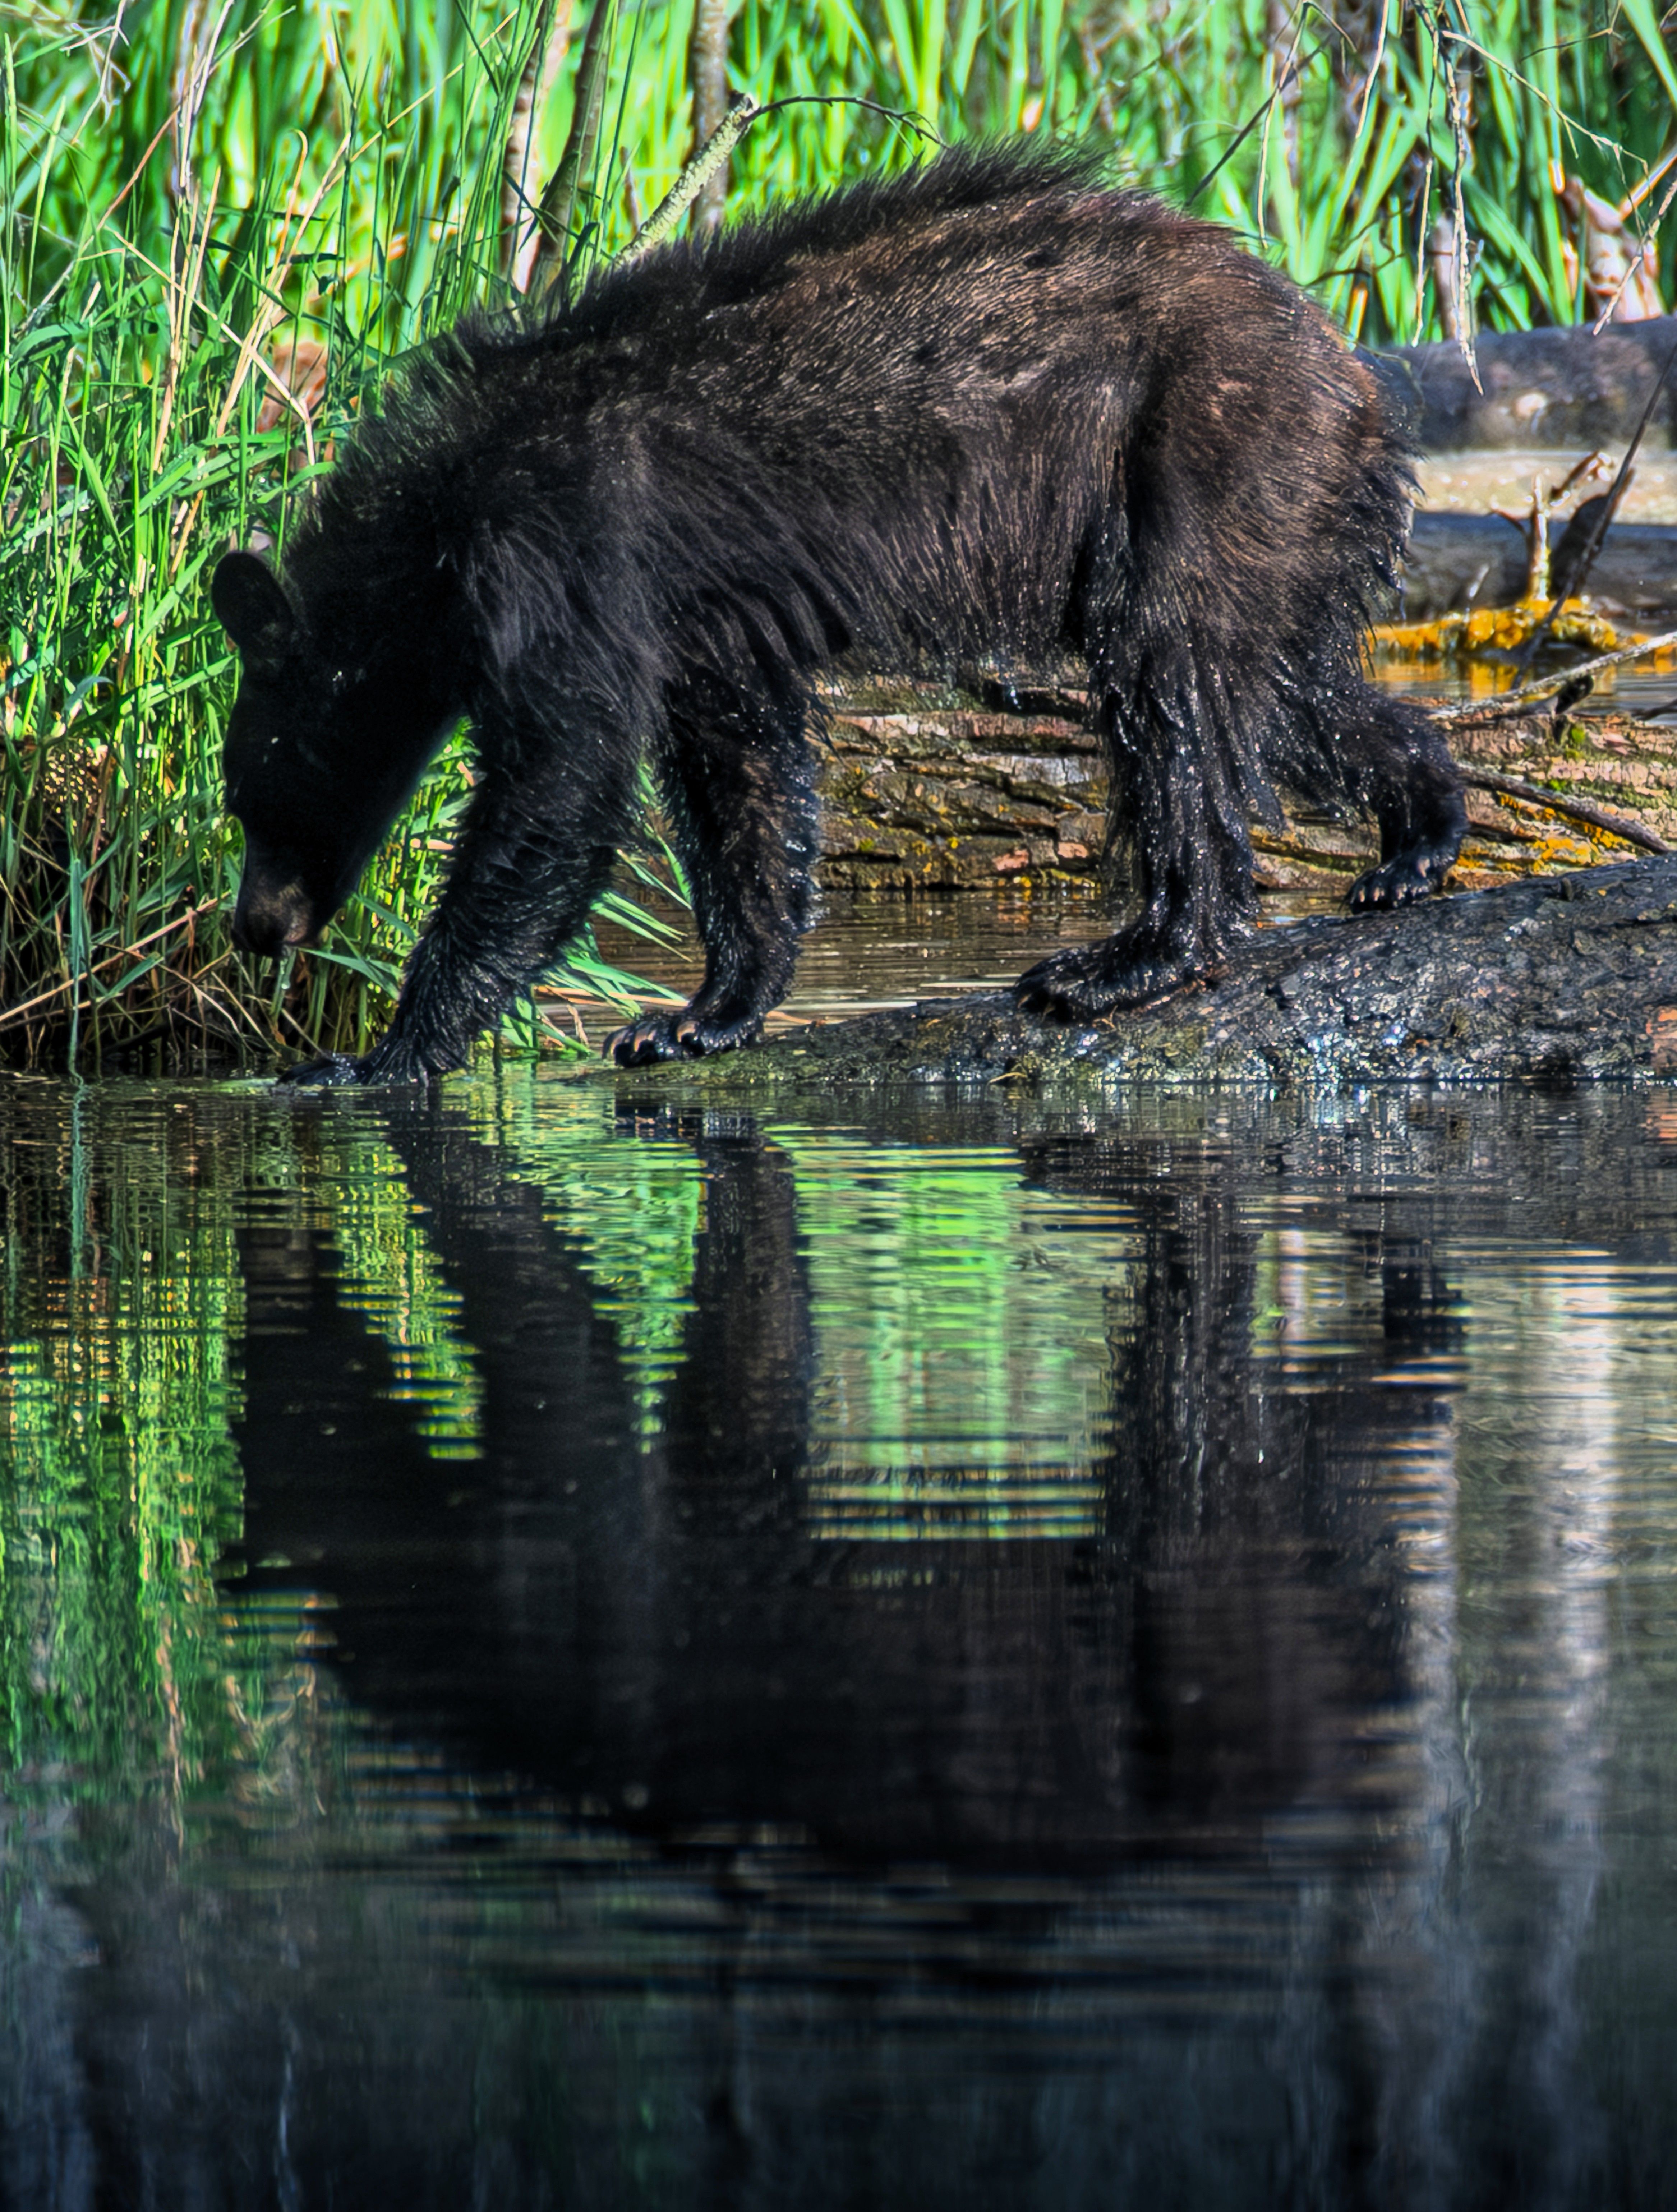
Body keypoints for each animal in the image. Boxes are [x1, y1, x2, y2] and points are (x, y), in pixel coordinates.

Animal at [213, 142, 1466, 1084]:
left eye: (249, 790)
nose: (253, 926)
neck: (433, 522)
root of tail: (1356, 374)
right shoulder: (698, 617)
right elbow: (739, 769)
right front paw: (701, 1013)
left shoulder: (561, 550)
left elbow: (559, 786)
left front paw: (379, 1057)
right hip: (1276, 511)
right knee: (1283, 689)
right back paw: (1416, 840)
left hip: (1202, 444)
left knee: (1169, 683)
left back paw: (1131, 958)